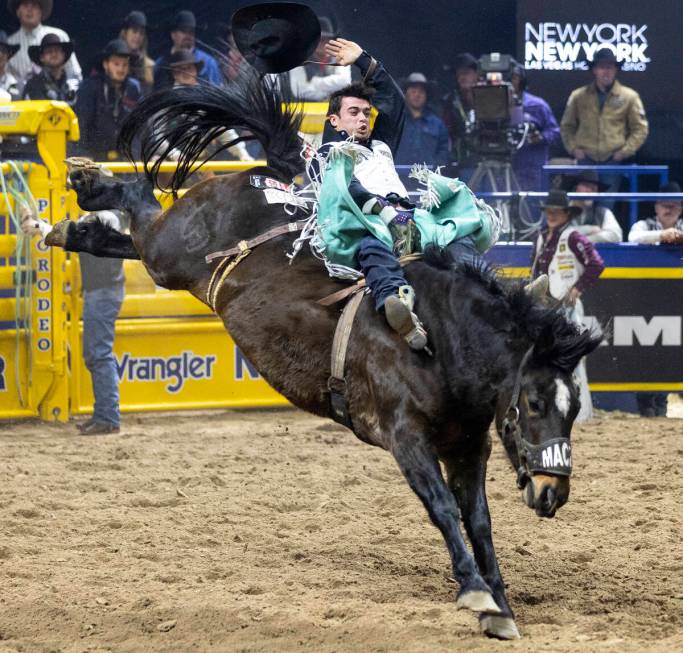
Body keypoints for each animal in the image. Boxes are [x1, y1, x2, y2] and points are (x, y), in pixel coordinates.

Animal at [45, 75, 600, 636]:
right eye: (534, 403)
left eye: (575, 407)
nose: (553, 493)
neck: (440, 342)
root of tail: (267, 177)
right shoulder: (406, 439)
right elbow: (444, 510)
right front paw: (476, 593)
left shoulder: (468, 446)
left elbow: (479, 521)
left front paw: (500, 605)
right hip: (171, 252)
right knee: (142, 207)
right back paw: (91, 185)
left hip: (175, 265)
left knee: (131, 235)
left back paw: (75, 229)